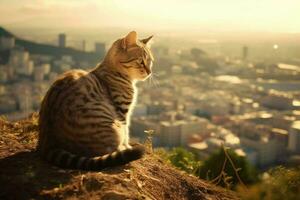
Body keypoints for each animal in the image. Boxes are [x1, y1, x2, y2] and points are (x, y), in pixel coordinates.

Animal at [37, 31, 154, 170]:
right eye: (141, 61)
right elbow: (126, 132)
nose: (149, 72)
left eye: (150, 61)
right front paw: (127, 146)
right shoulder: (122, 111)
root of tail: (48, 143)